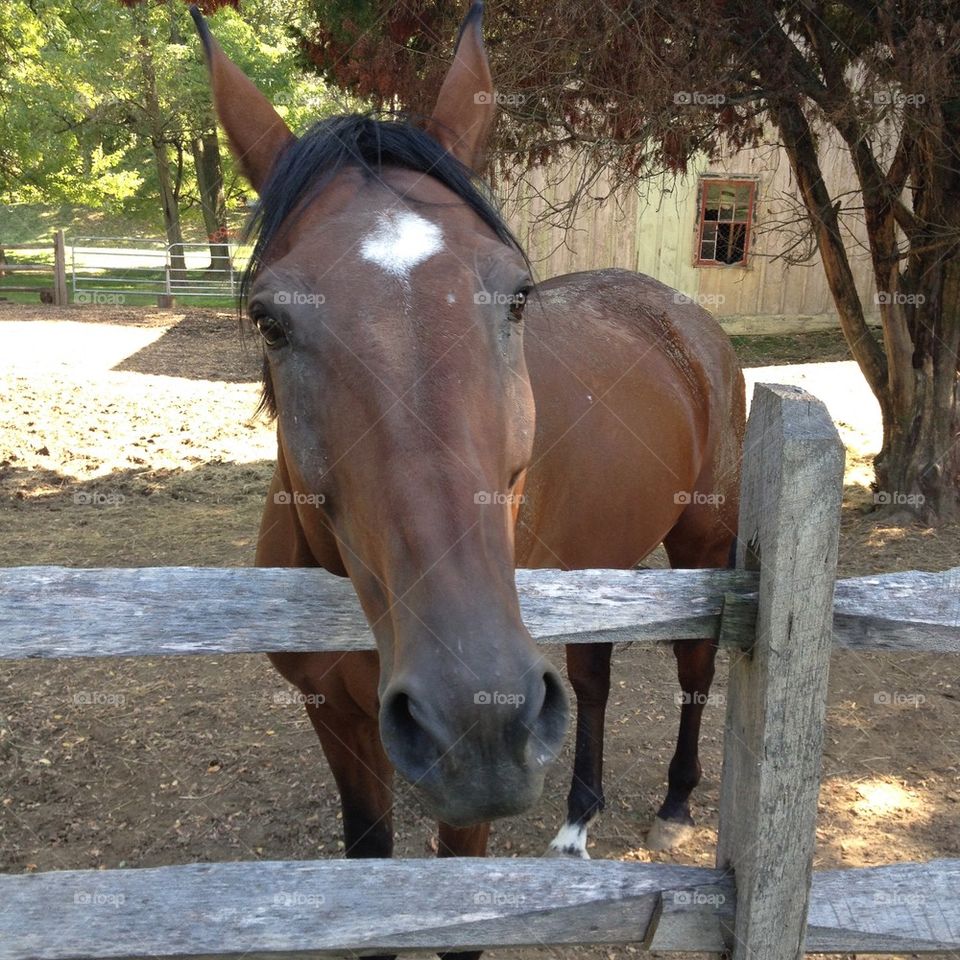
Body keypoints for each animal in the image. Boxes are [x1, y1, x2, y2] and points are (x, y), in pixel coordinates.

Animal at [191, 1, 744, 866]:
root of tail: (686, 318)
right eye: (269, 320)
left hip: (703, 542)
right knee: (593, 678)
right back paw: (578, 816)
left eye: (516, 296)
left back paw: (677, 801)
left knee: (694, 667)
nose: (477, 721)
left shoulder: (465, 808)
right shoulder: (335, 719)